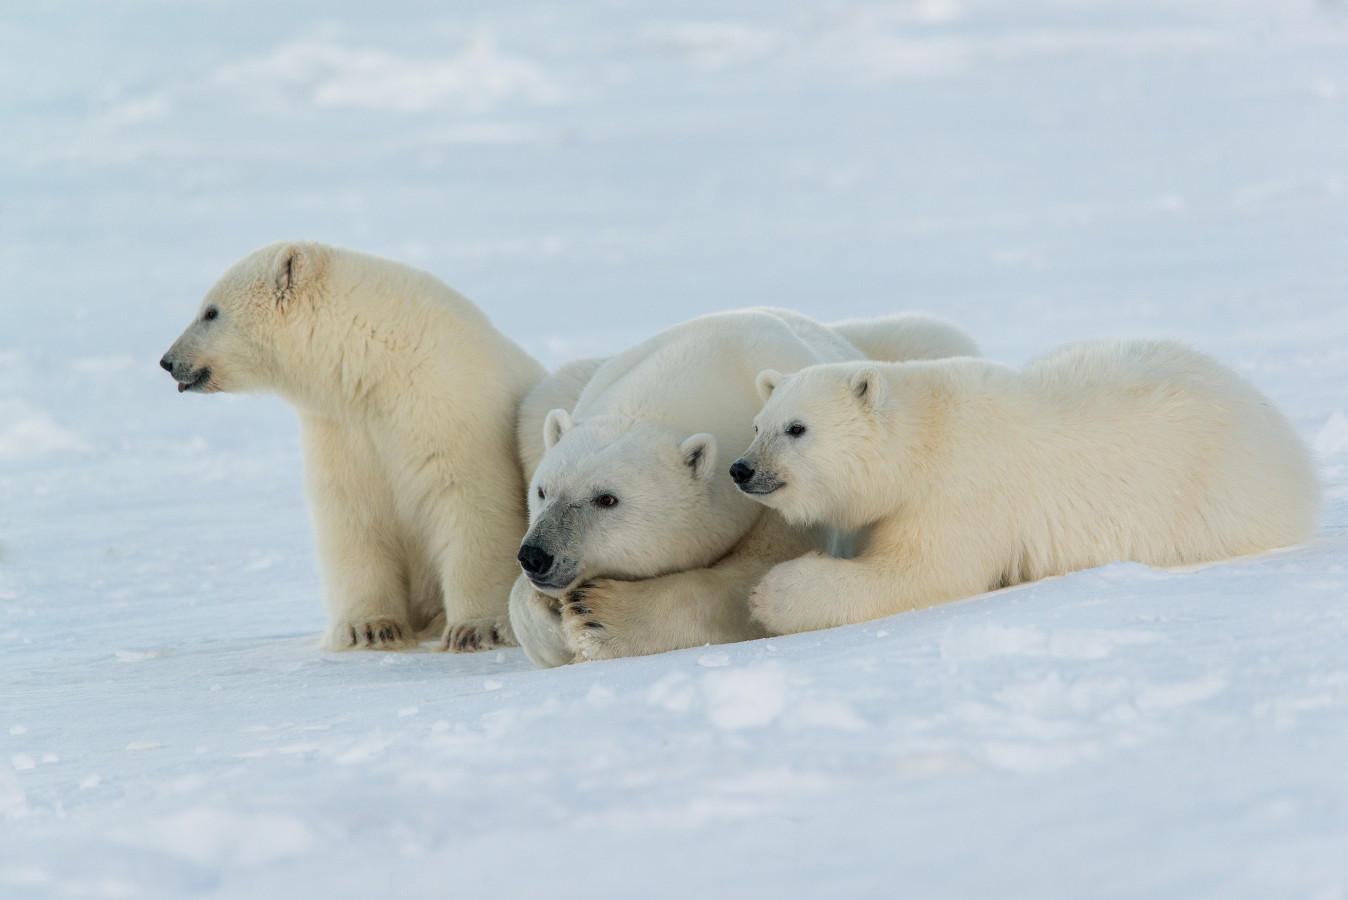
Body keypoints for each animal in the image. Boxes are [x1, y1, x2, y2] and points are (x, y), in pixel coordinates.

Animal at [161, 238, 547, 649]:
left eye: (210, 311)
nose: (168, 361)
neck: (377, 363)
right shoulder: (344, 427)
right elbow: (351, 512)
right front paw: (370, 628)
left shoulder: (450, 409)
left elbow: (472, 503)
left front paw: (476, 629)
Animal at [509, 305, 975, 665]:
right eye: (543, 491)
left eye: (607, 499)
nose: (536, 556)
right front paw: (548, 617)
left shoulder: (780, 494)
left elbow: (749, 583)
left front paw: (597, 612)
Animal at [733, 336, 1321, 633]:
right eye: (759, 425)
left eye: (797, 428)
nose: (741, 469)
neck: (924, 437)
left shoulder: (959, 488)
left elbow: (923, 574)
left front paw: (770, 594)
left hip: (1216, 494)